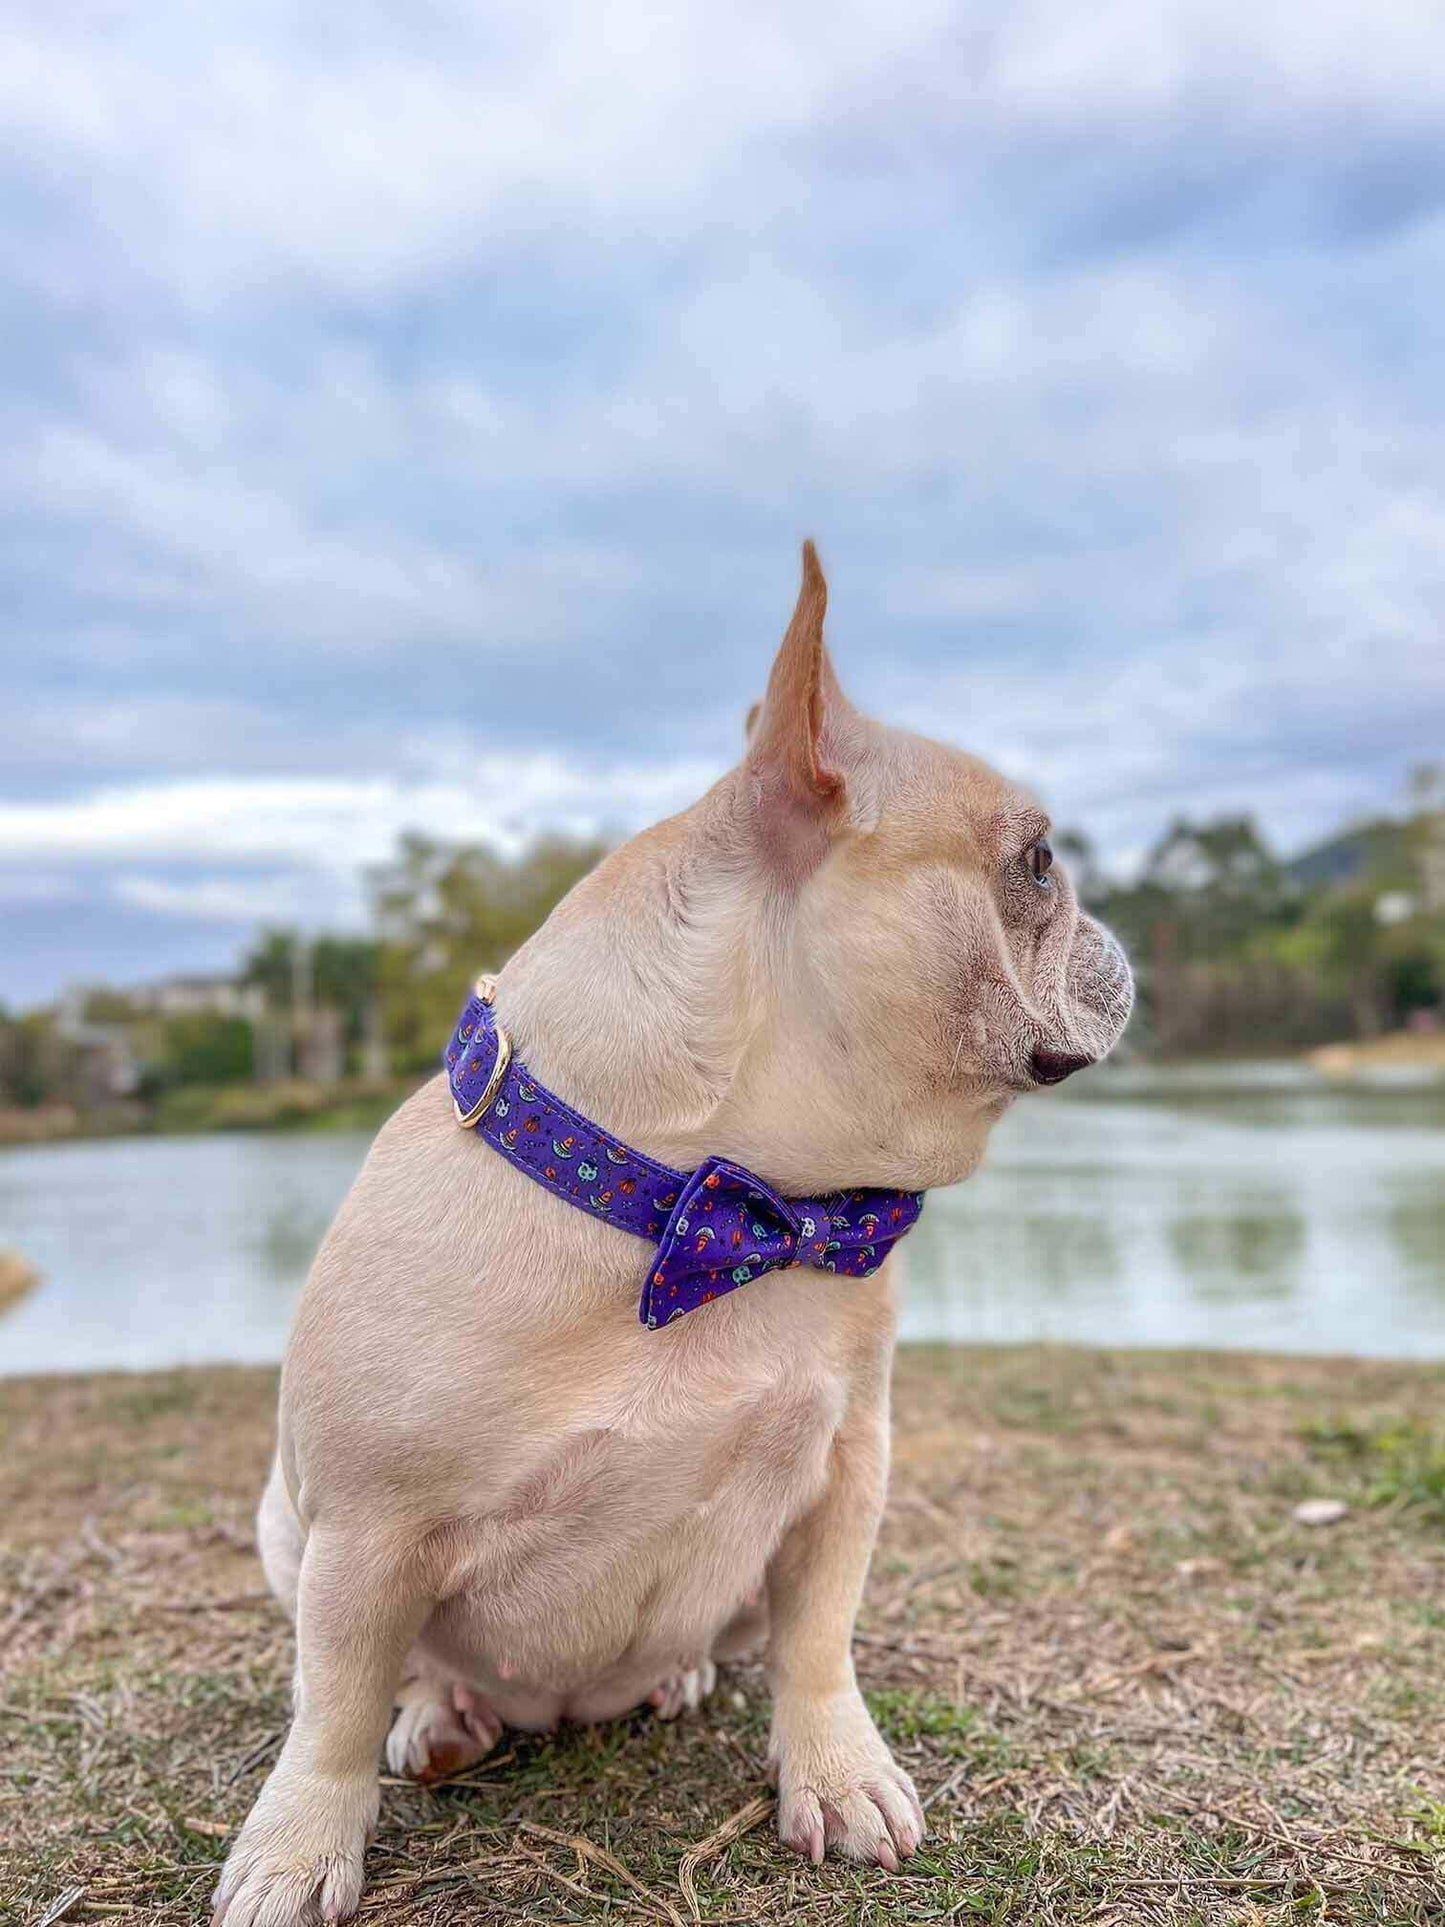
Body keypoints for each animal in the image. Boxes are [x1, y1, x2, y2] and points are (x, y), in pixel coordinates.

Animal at [217, 547, 1132, 1927]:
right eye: (1033, 863)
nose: (1114, 936)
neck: (712, 1197)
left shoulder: (843, 1473)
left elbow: (817, 1642)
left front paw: (835, 1774)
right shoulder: (365, 1534)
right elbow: (330, 1704)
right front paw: (296, 1846)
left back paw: (677, 1675)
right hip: (290, 1528)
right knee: (394, 1672)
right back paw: (438, 1714)